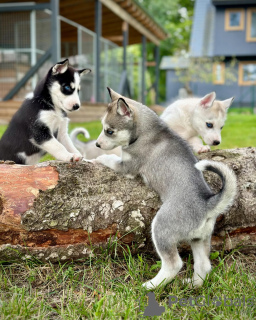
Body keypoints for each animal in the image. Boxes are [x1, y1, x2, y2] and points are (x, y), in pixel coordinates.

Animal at [95, 87, 236, 290]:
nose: (97, 144)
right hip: (199, 240)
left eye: (109, 131)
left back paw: (150, 285)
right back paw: (192, 284)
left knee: (174, 264)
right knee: (204, 265)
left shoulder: (127, 167)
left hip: (161, 228)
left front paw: (96, 158)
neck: (147, 130)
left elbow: (111, 159)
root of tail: (207, 203)